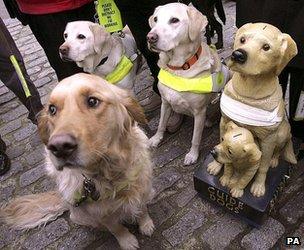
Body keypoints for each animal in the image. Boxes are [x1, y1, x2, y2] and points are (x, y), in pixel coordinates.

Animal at [0, 73, 154, 249]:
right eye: (52, 109)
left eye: (92, 101)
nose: (59, 147)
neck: (111, 172)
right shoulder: (101, 214)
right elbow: (116, 228)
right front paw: (127, 241)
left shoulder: (143, 188)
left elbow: (142, 209)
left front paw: (146, 224)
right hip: (80, 215)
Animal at [147, 2, 230, 166]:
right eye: (155, 19)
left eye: (174, 20)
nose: (150, 37)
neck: (178, 69)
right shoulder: (165, 102)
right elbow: (161, 124)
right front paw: (156, 138)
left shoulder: (199, 112)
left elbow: (195, 138)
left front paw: (192, 155)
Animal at [208, 23, 298, 197]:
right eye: (242, 39)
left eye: (266, 47)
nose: (238, 54)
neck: (248, 91)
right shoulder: (224, 122)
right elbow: (221, 142)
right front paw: (216, 166)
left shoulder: (268, 139)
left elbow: (262, 166)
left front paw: (258, 186)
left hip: (283, 133)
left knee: (278, 150)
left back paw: (274, 160)